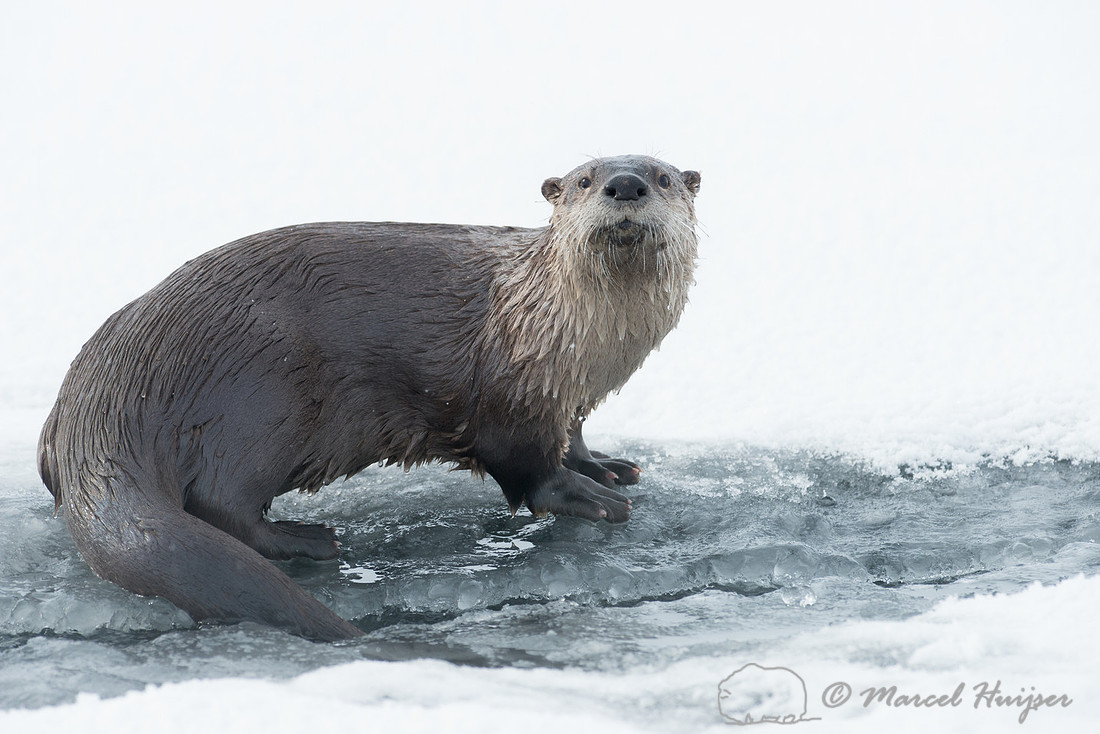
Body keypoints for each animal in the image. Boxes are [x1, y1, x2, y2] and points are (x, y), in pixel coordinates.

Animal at [37, 154, 701, 640]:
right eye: (585, 179)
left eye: (664, 177)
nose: (624, 184)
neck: (550, 327)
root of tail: (105, 390)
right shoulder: (510, 395)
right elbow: (527, 468)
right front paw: (586, 495)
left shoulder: (570, 394)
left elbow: (575, 433)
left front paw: (603, 465)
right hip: (263, 399)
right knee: (221, 501)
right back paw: (308, 540)